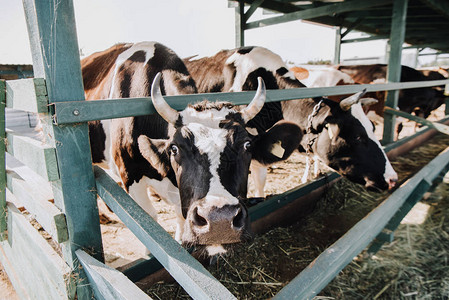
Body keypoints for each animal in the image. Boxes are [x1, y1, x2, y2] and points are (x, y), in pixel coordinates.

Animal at [82, 41, 302, 255]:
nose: (219, 221)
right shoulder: (129, 173)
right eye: (174, 149)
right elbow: (148, 219)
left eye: (247, 145)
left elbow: (181, 216)